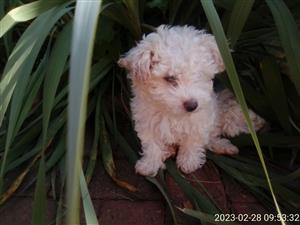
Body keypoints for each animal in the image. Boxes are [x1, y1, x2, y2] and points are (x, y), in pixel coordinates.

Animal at [118, 24, 264, 176]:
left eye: (199, 75)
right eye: (170, 78)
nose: (192, 105)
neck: (172, 113)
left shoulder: (200, 120)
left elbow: (193, 141)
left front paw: (189, 162)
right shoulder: (146, 121)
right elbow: (152, 144)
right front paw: (150, 164)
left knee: (213, 135)